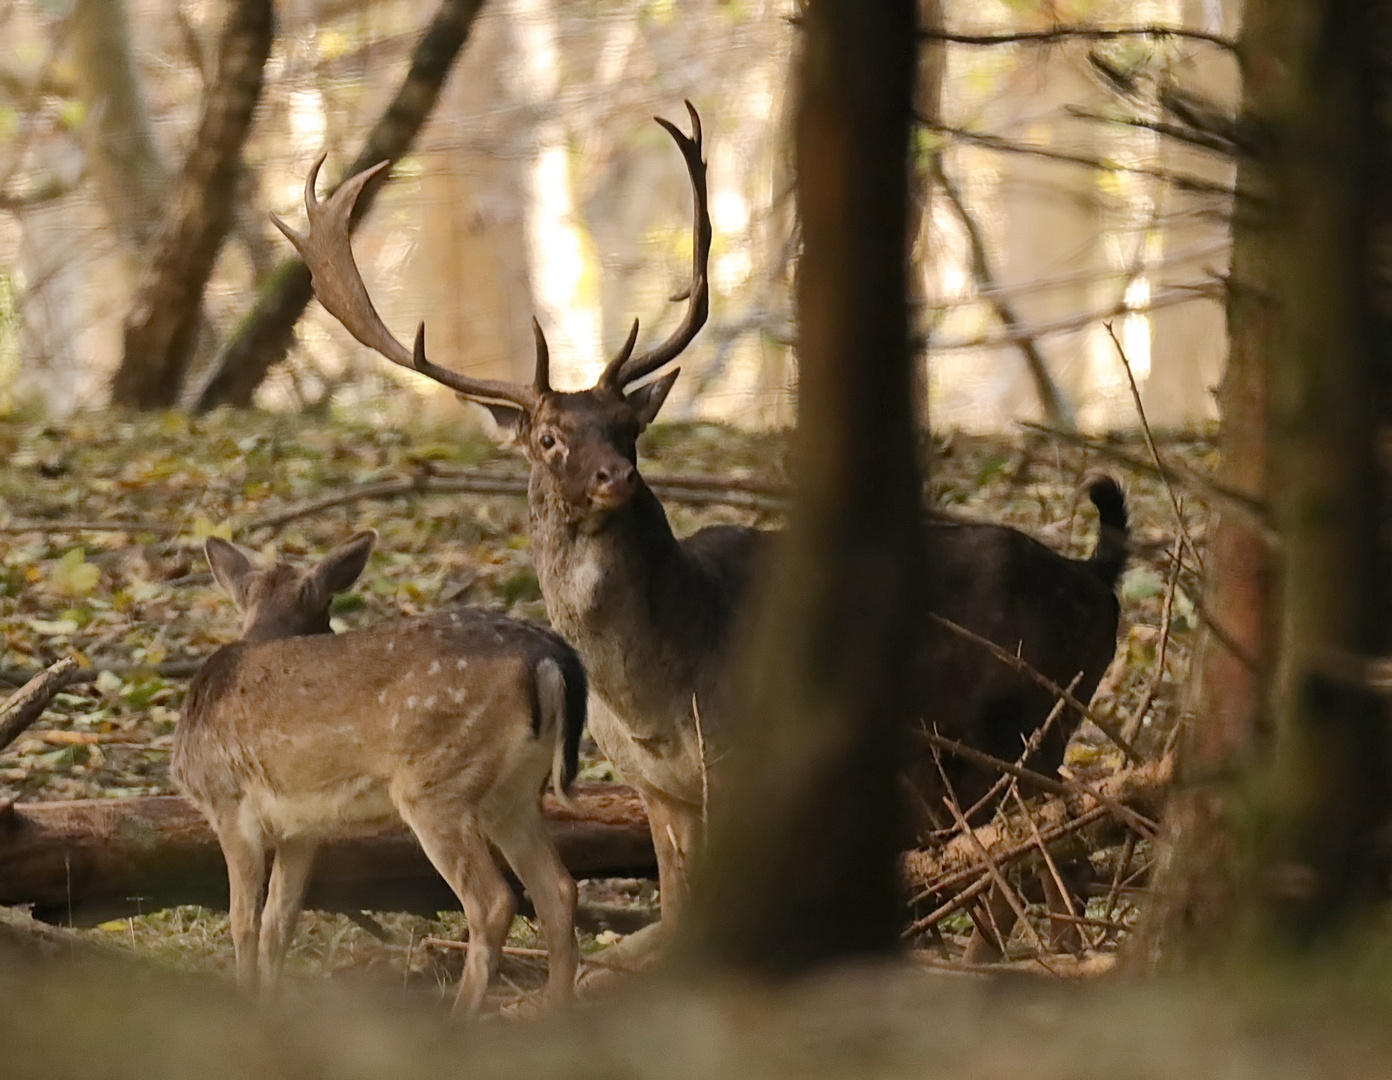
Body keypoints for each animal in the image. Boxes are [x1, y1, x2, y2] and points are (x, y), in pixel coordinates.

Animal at [274, 105, 1130, 957]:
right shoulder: (660, 788)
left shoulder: (742, 763)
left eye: (629, 428)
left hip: (1022, 728)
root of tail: (1098, 580)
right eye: (548, 437)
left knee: (1046, 869)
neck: (649, 696)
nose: (616, 478)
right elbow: (679, 903)